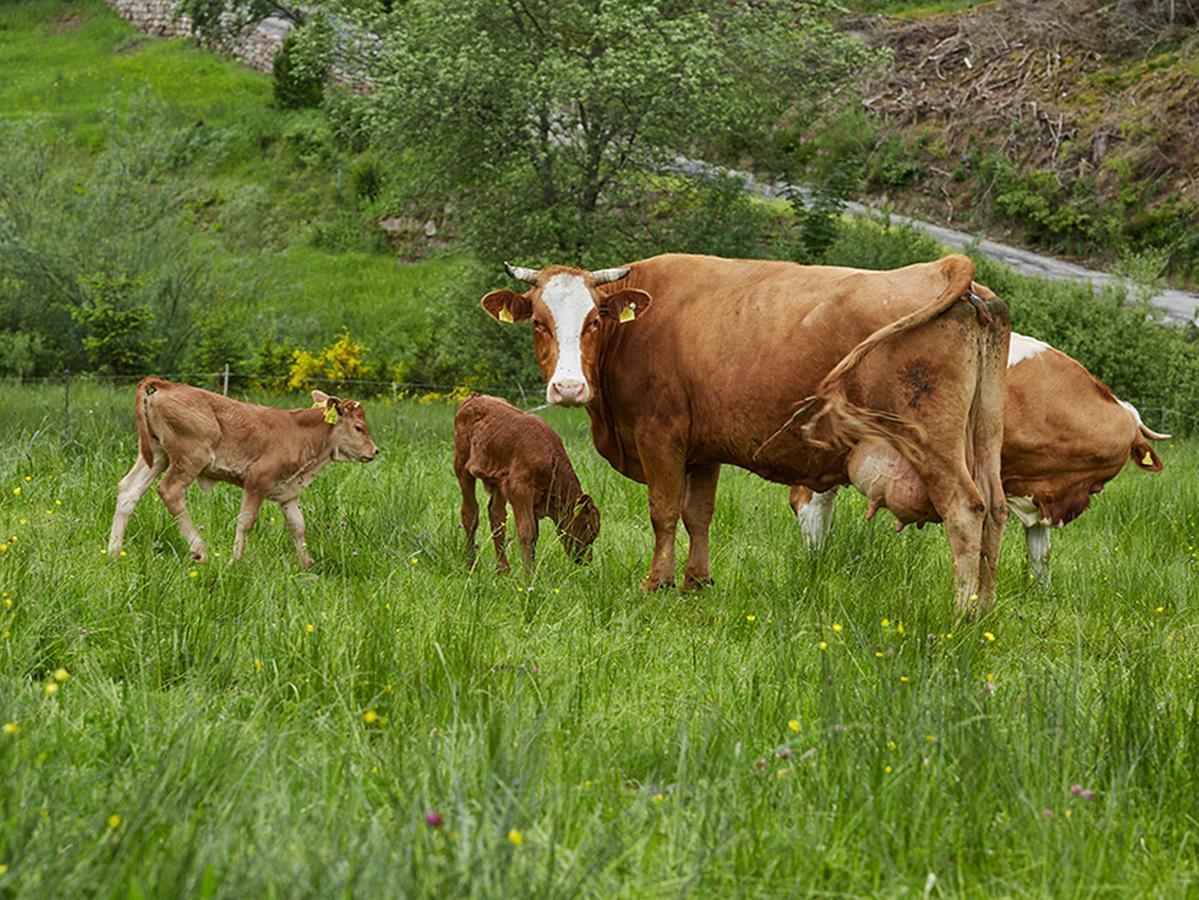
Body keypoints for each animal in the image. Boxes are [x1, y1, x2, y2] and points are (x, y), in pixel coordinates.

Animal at [109, 376, 378, 565]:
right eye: (359, 427)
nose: (375, 451)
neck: (300, 432)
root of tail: (165, 385)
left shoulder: (288, 492)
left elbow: (298, 525)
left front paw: (306, 564)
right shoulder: (258, 480)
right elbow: (245, 521)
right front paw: (235, 561)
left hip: (156, 456)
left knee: (128, 491)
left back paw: (113, 550)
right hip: (190, 458)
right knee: (170, 491)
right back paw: (200, 550)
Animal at [450, 393, 599, 570]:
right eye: (588, 525)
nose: (586, 559)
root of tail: (476, 397)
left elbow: (534, 535)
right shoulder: (520, 490)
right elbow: (527, 532)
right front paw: (529, 574)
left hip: (498, 479)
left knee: (496, 516)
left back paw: (503, 571)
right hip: (462, 466)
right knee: (470, 513)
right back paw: (470, 566)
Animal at [477, 256, 1011, 618]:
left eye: (594, 321)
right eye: (539, 323)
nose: (567, 387)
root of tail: (949, 268)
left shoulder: (660, 436)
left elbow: (664, 512)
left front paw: (657, 583)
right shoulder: (702, 450)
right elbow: (698, 515)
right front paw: (696, 582)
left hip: (932, 444)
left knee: (966, 510)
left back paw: (961, 612)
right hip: (985, 435)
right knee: (995, 508)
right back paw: (985, 607)